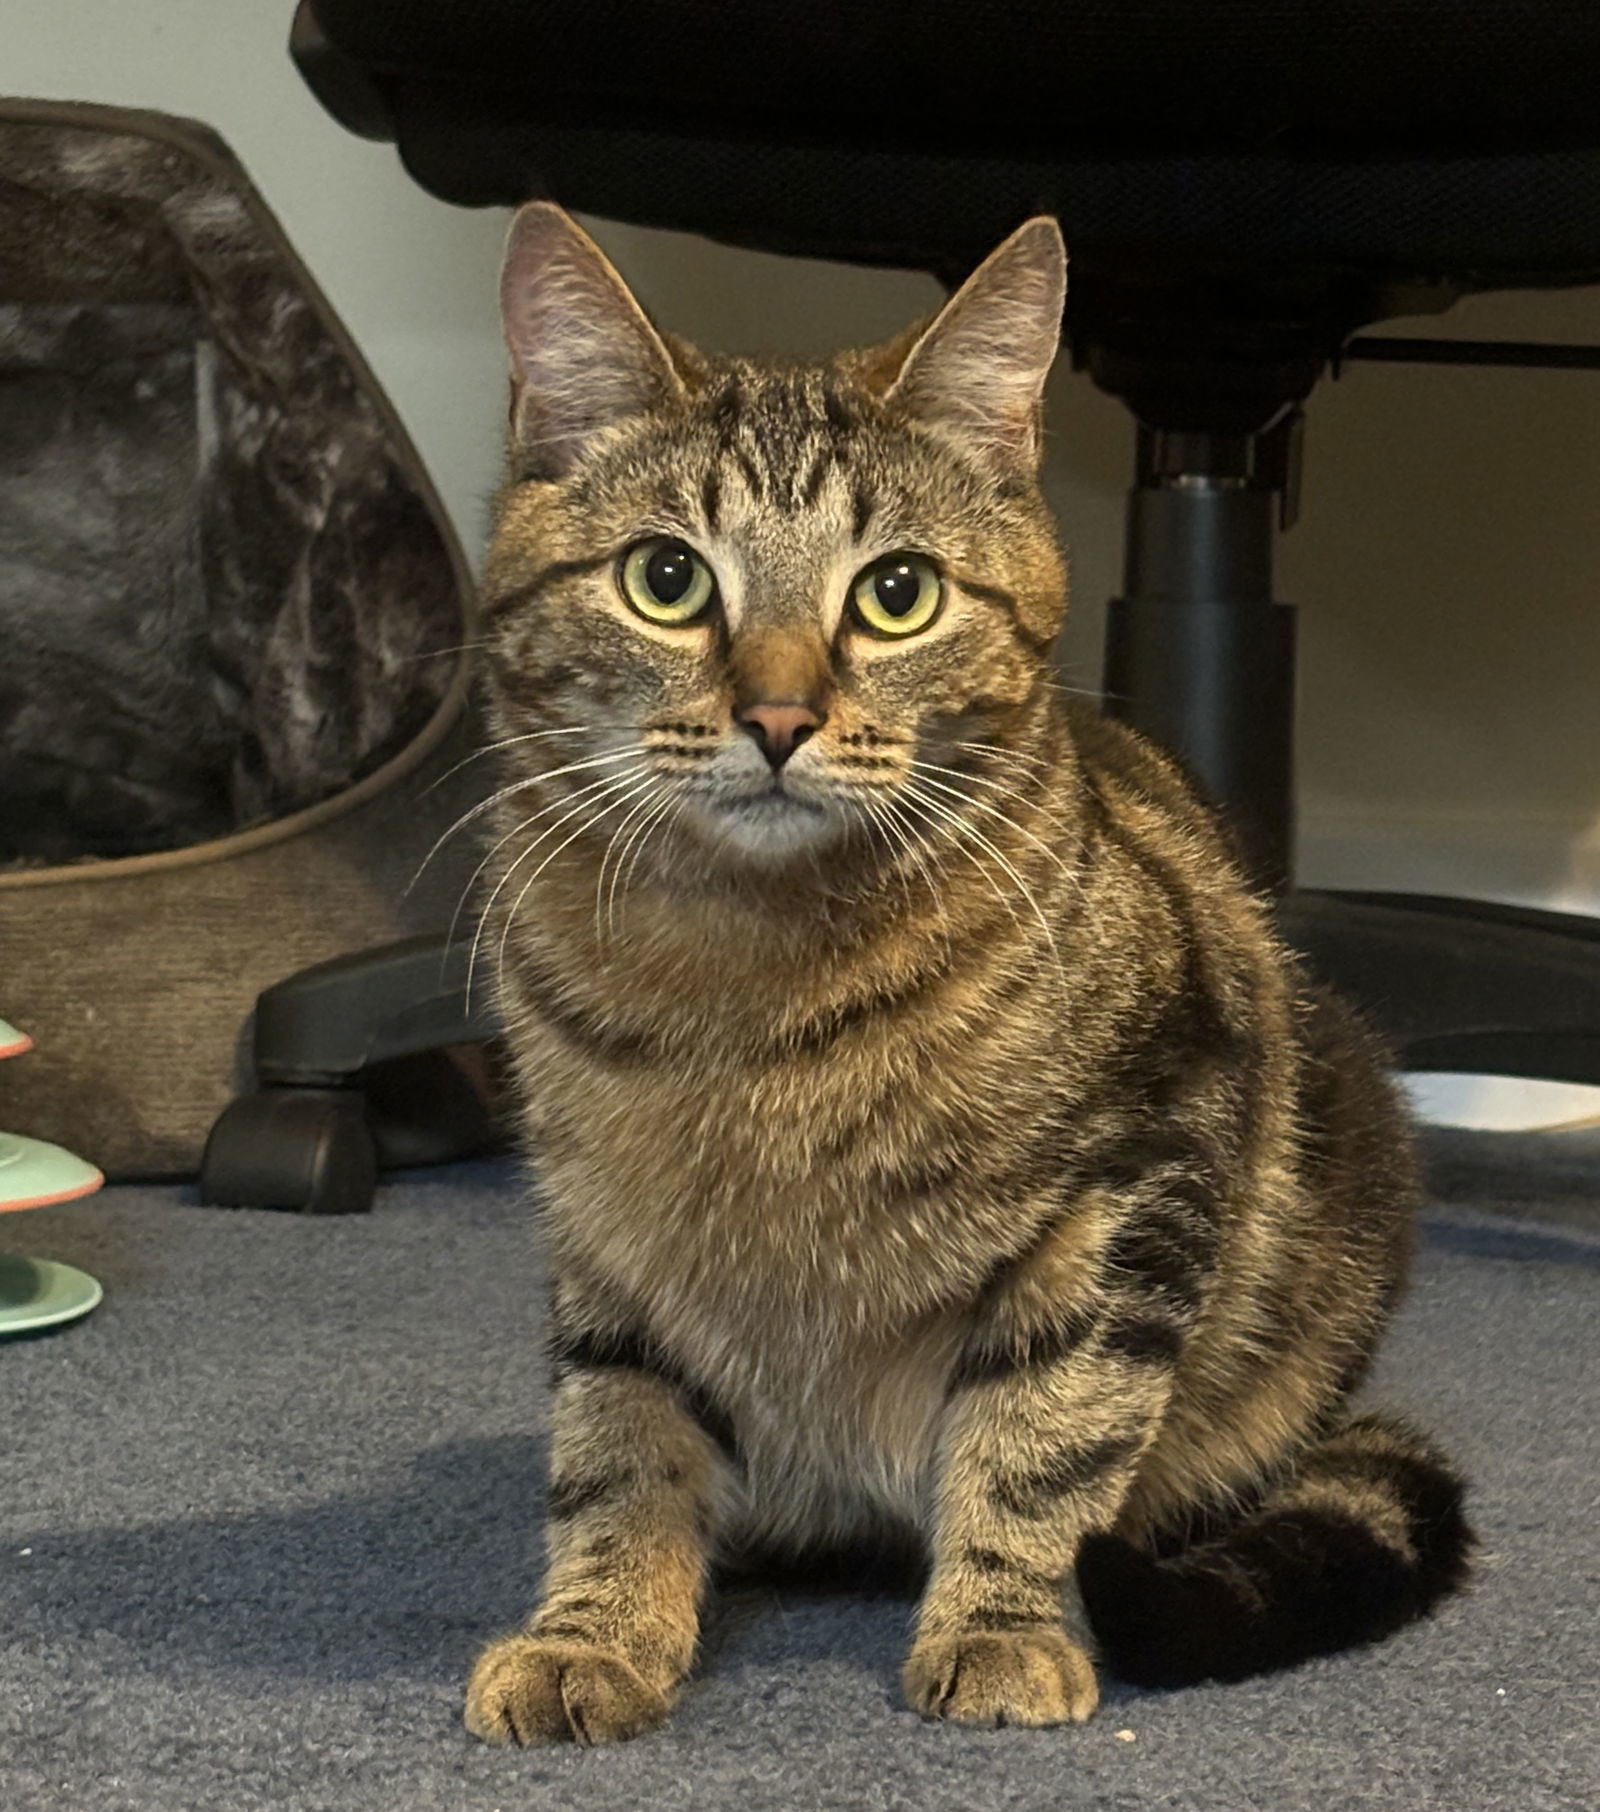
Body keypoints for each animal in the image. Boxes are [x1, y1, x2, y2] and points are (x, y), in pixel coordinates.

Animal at [456, 205, 1471, 1746]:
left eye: (897, 594)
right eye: (665, 577)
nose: (778, 715)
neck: (745, 985)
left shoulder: (1140, 1176)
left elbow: (1047, 1437)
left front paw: (999, 1627)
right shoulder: (608, 1237)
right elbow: (616, 1444)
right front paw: (596, 1629)